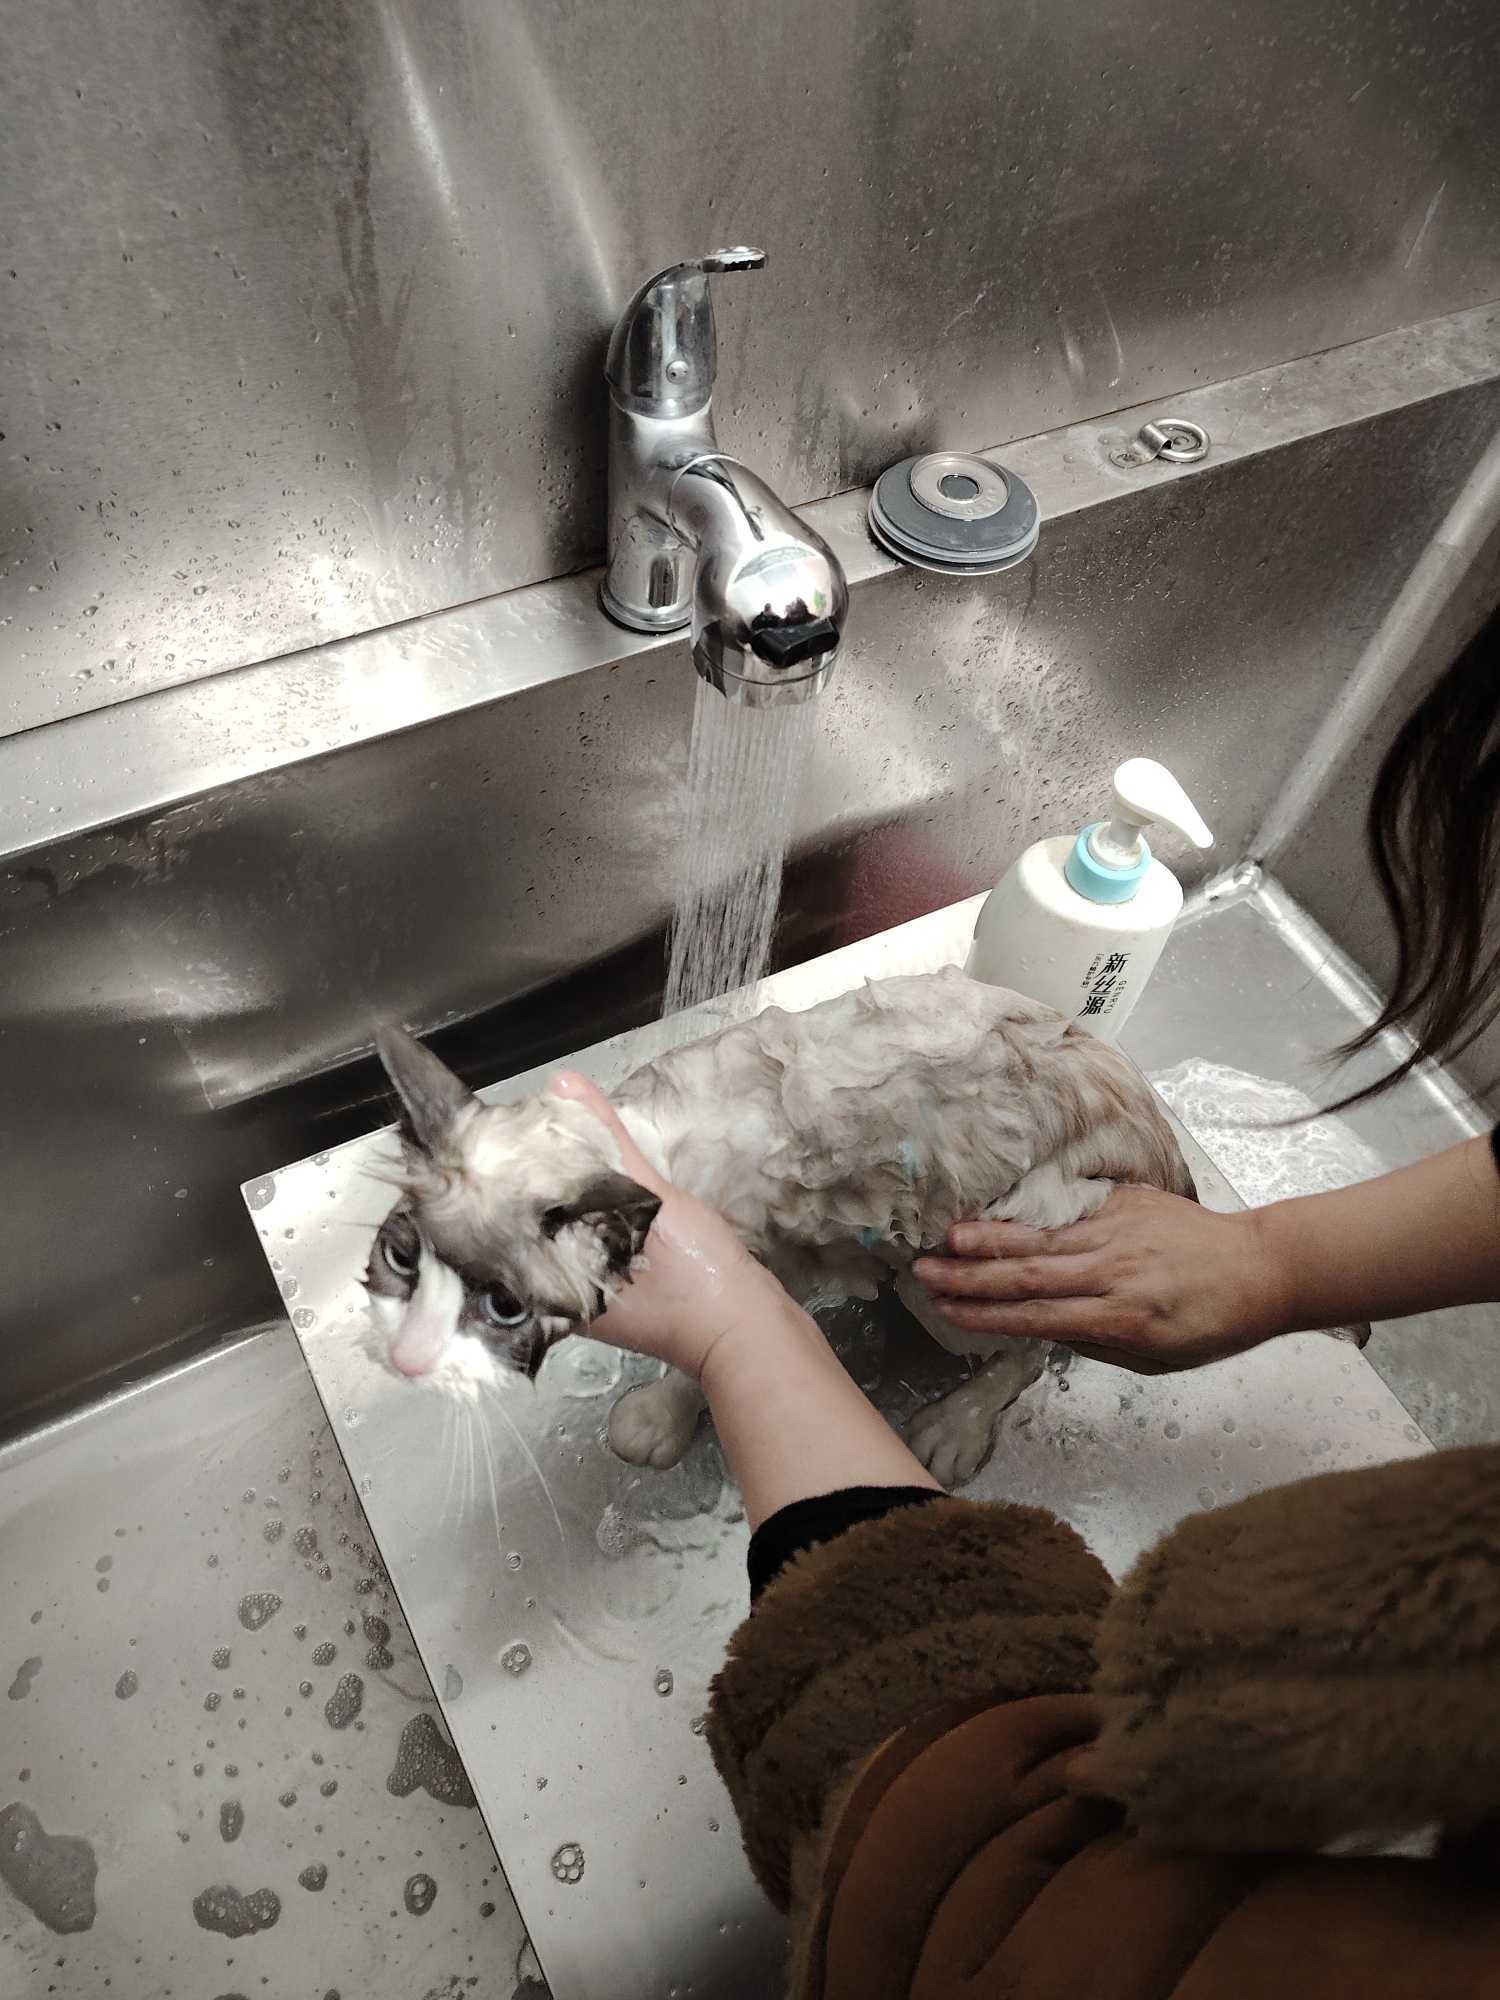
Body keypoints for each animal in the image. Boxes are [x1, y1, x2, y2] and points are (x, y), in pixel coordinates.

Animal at [363, 965, 1196, 1487]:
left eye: (502, 1303)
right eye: (402, 1257)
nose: (404, 1357)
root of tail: (1157, 1137)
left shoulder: (765, 1262)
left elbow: (698, 1359)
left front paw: (660, 1415)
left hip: (969, 1259)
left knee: (1027, 1350)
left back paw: (955, 1426)